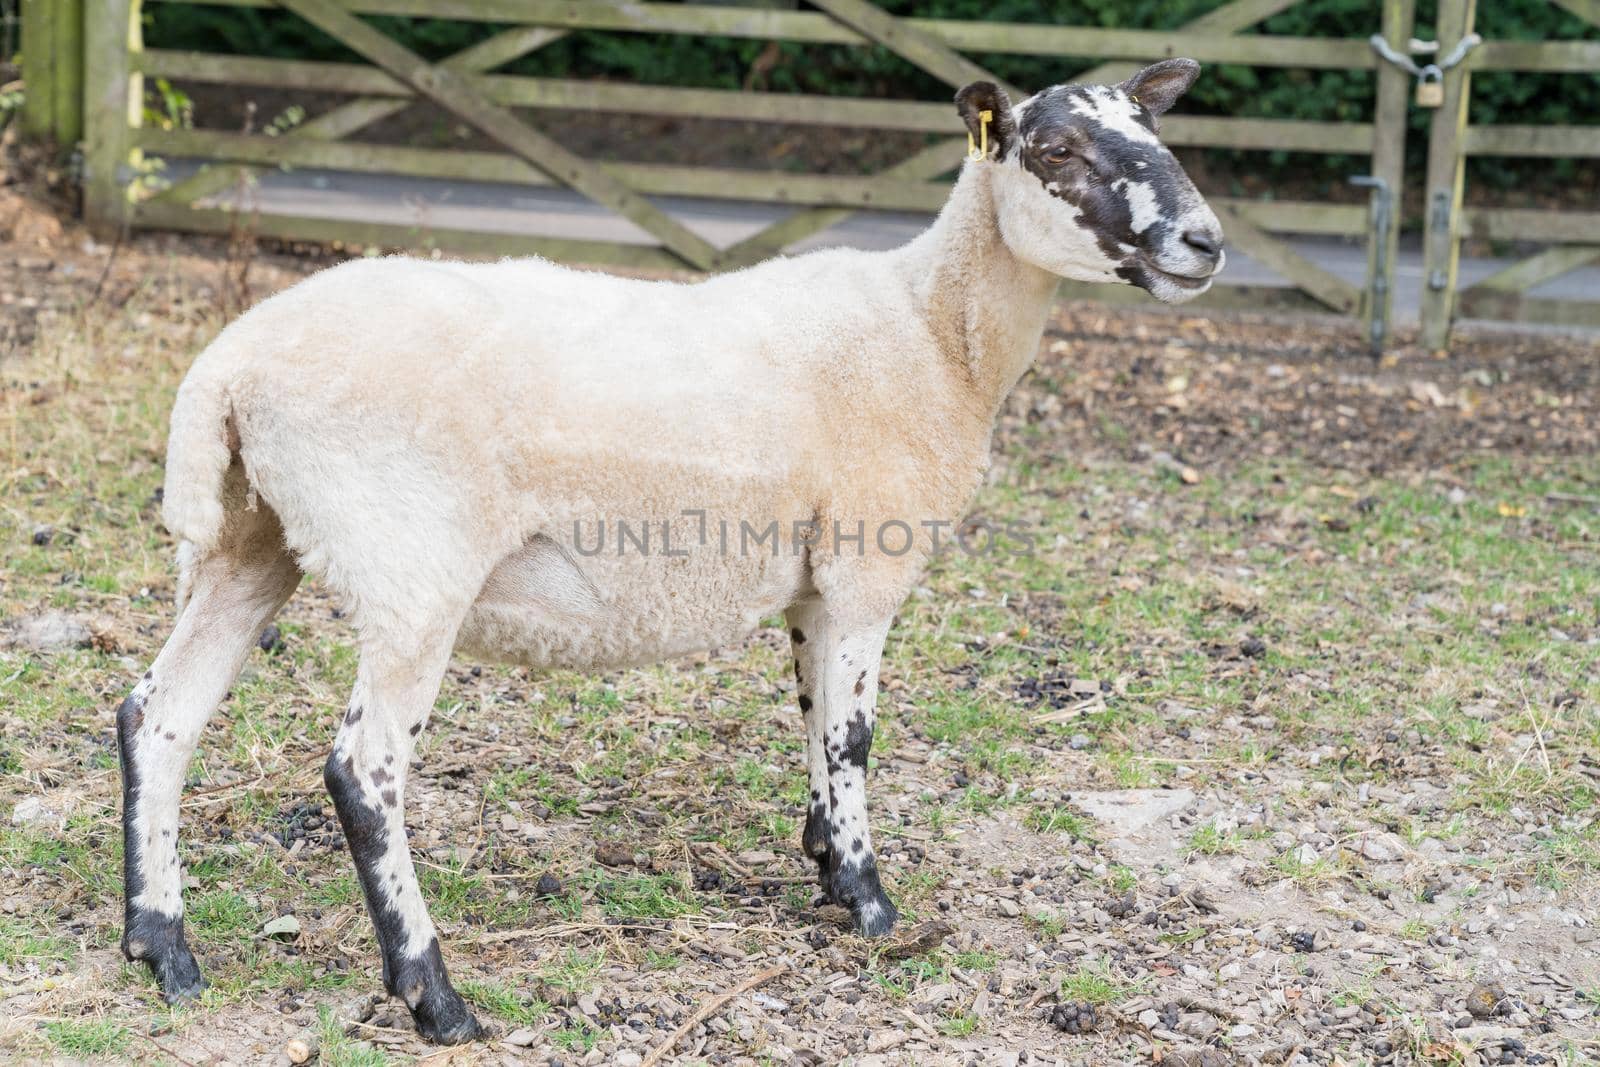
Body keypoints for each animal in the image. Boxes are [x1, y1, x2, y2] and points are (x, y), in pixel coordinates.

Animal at [118, 60, 1222, 1043]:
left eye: (1156, 131)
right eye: (1059, 148)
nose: (1204, 241)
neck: (933, 333)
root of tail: (226, 368)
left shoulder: (813, 583)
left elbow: (814, 717)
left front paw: (827, 861)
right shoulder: (865, 564)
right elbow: (854, 736)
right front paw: (872, 905)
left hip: (253, 537)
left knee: (157, 717)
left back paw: (163, 946)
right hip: (410, 567)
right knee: (363, 770)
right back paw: (434, 995)